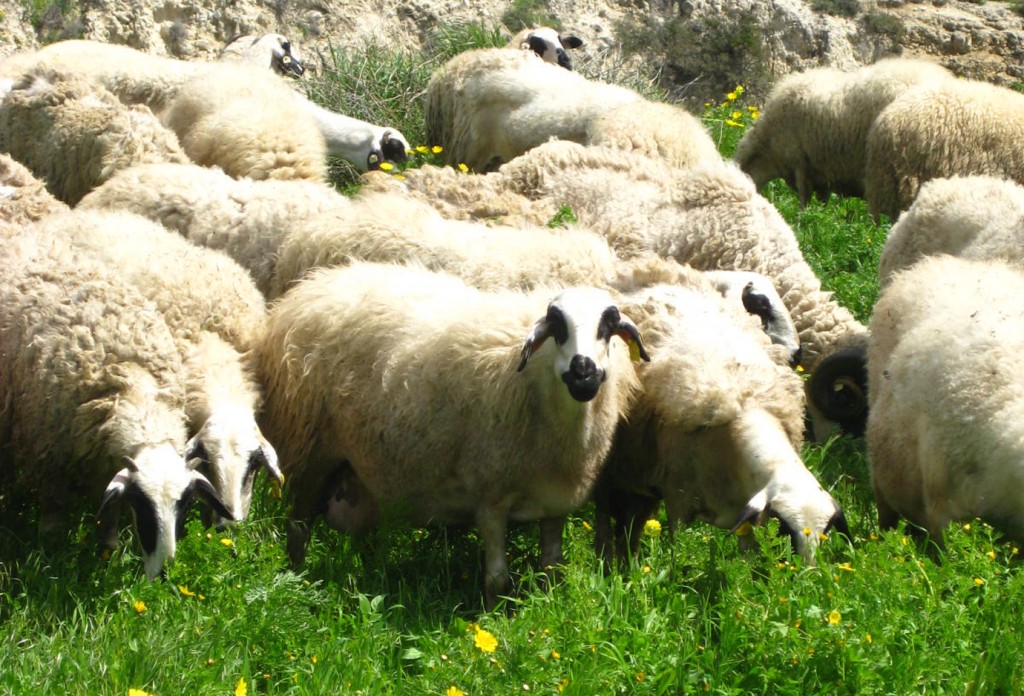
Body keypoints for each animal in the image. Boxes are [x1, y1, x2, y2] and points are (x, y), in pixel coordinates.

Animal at [0, 232, 232, 578]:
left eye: (186, 504)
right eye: (144, 506)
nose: (163, 574)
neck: (133, 386)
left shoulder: (102, 466)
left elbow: (109, 517)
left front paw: (108, 549)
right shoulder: (51, 458)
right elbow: (54, 508)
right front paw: (50, 543)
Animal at [257, 261, 649, 607]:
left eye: (607, 328)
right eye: (558, 328)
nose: (583, 374)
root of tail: (305, 291)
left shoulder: (553, 502)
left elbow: (550, 570)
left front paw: (546, 610)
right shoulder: (489, 495)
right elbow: (497, 579)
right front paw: (496, 620)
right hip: (312, 448)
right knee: (298, 528)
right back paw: (297, 581)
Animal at [594, 277, 847, 566]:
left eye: (825, 534)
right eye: (785, 529)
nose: (808, 572)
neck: (745, 409)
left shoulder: (745, 514)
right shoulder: (678, 499)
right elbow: (678, 550)